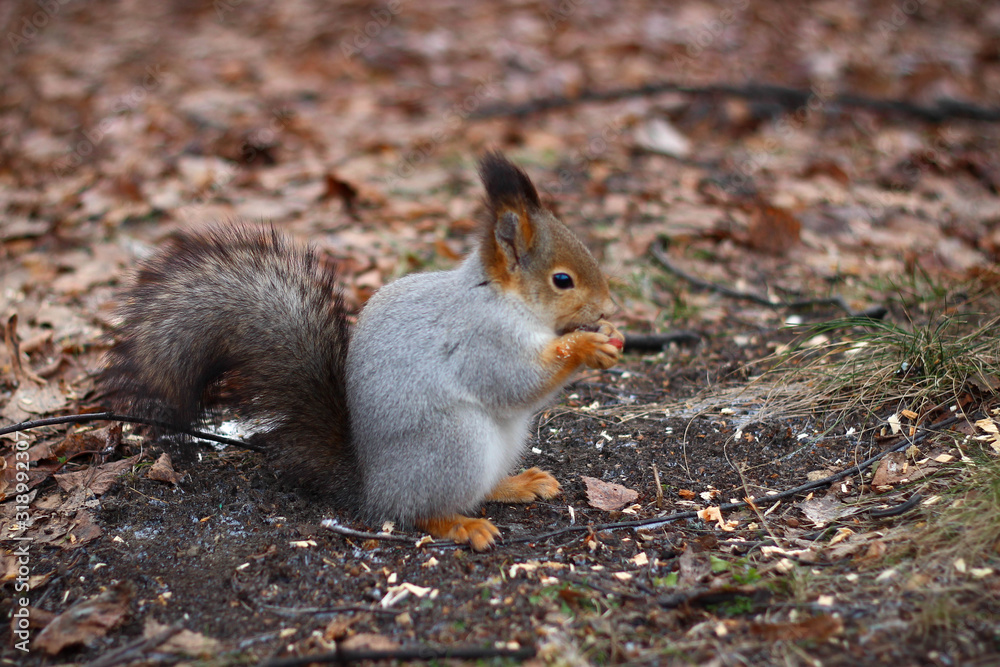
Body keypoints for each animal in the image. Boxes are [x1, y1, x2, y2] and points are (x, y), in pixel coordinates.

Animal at [98, 152, 624, 550]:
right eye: (562, 280)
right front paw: (585, 345)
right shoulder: (479, 339)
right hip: (454, 445)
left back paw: (516, 484)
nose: (608, 306)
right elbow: (512, 381)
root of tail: (372, 489)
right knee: (420, 512)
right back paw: (461, 525)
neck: (503, 299)